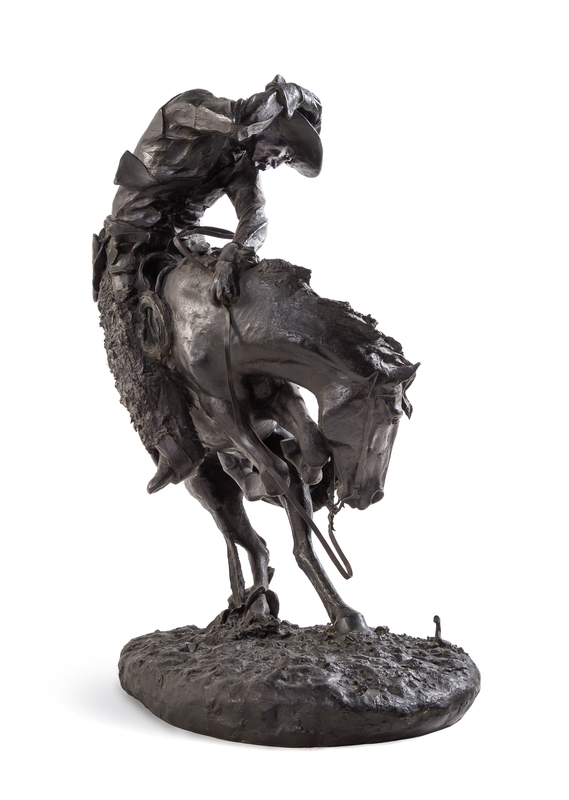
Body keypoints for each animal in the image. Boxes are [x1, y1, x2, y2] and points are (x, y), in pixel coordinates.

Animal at [147, 255, 418, 633]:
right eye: (392, 418)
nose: (372, 495)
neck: (224, 326)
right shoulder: (221, 409)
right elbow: (280, 471)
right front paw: (274, 478)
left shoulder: (280, 394)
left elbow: (312, 452)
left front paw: (345, 615)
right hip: (209, 489)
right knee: (240, 538)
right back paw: (247, 602)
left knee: (257, 546)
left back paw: (257, 607)